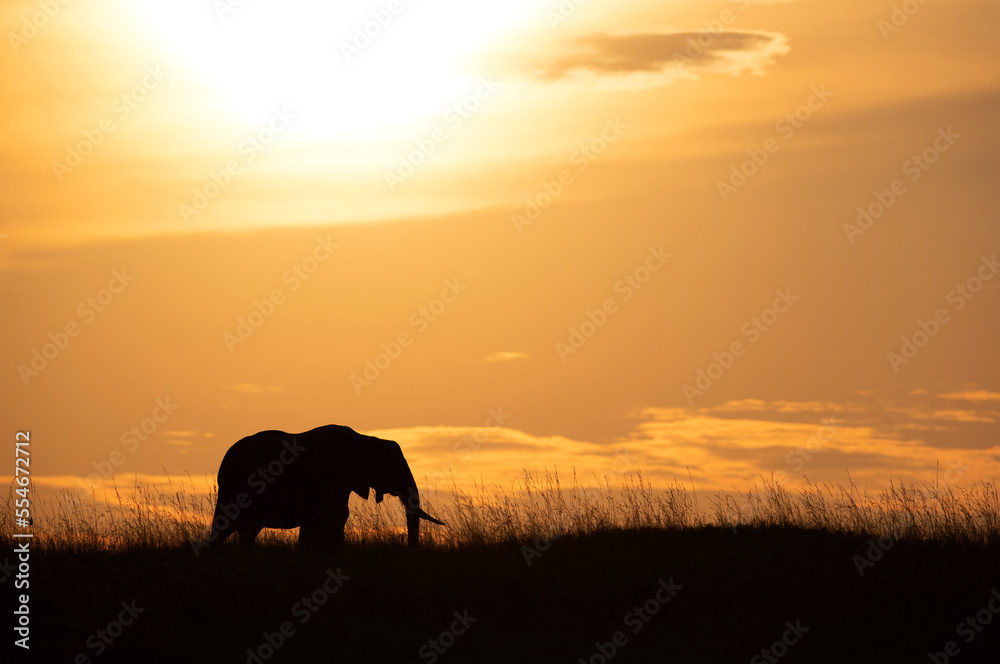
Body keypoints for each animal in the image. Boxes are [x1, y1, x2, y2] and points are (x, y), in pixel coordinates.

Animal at [208, 428, 446, 548]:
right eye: (385, 464)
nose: (410, 547)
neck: (364, 438)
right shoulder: (320, 479)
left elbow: (338, 517)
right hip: (231, 489)